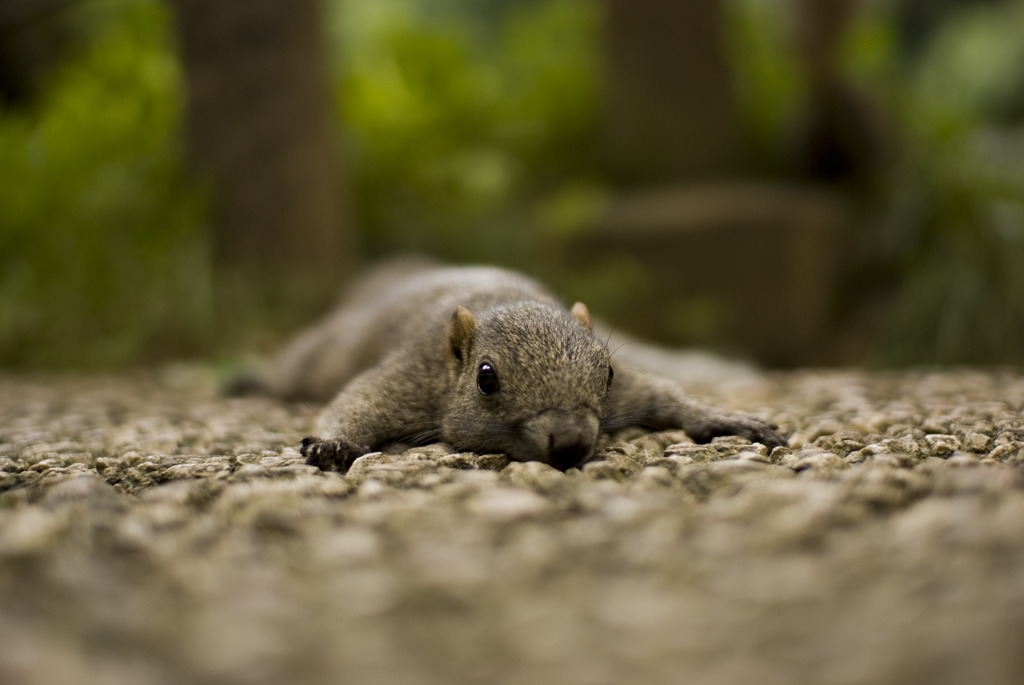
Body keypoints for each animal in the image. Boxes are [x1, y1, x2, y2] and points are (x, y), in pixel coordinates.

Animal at [268, 259, 786, 473]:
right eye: (485, 378)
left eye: (609, 373)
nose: (571, 443)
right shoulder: (410, 377)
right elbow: (359, 402)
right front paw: (335, 443)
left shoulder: (629, 390)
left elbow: (667, 396)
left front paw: (728, 419)